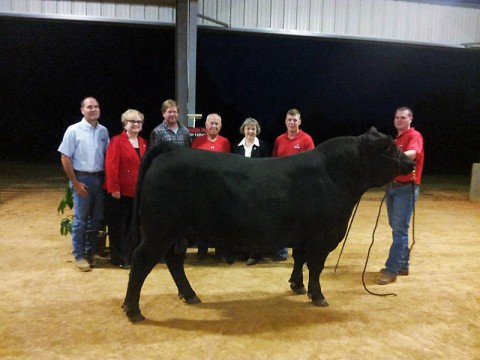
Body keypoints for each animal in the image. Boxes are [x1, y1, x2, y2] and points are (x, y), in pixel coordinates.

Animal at [122, 126, 414, 320]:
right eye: (389, 148)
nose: (411, 162)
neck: (337, 174)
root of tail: (171, 148)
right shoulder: (322, 236)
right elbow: (315, 267)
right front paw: (317, 295)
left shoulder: (304, 235)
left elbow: (299, 259)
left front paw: (297, 285)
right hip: (160, 229)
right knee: (141, 260)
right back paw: (133, 310)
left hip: (176, 231)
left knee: (173, 260)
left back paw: (189, 294)